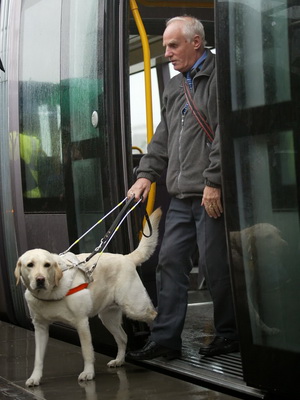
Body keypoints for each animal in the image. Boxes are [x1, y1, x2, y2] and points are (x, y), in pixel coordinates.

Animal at [14, 208, 162, 386]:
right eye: (30, 265)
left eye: (47, 265)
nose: (40, 280)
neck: (50, 294)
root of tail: (125, 257)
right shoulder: (40, 327)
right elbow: (38, 358)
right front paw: (35, 377)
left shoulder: (81, 322)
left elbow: (87, 351)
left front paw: (88, 373)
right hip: (108, 317)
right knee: (123, 337)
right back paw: (119, 360)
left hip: (134, 307)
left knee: (154, 315)